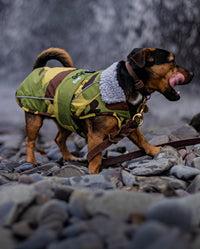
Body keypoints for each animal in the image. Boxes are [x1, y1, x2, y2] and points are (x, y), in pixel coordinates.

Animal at [16, 47, 194, 174]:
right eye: (172, 61)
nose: (192, 73)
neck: (128, 81)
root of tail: (39, 68)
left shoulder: (130, 124)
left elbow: (142, 140)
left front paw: (154, 150)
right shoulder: (95, 136)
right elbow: (95, 157)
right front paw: (93, 173)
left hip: (66, 119)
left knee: (59, 138)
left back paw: (69, 157)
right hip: (35, 118)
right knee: (30, 141)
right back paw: (31, 161)